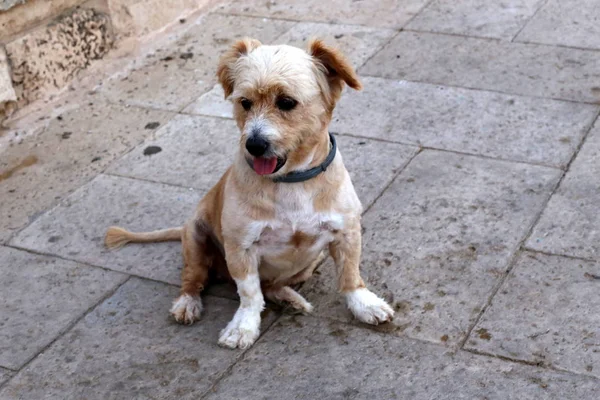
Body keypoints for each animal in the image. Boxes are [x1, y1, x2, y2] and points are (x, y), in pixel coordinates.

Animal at [105, 38, 396, 350]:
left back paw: (289, 298)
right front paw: (243, 327)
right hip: (195, 238)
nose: (254, 145)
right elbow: (249, 293)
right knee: (194, 278)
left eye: (287, 102)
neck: (290, 181)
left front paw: (364, 304)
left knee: (272, 286)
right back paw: (187, 303)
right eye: (245, 103)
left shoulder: (347, 233)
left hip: (310, 261)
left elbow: (350, 275)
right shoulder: (240, 248)